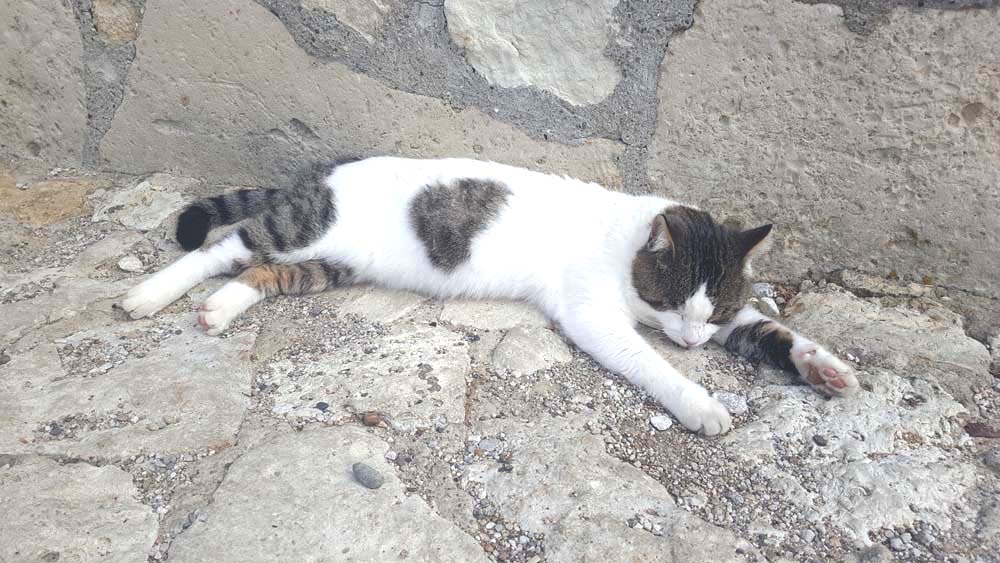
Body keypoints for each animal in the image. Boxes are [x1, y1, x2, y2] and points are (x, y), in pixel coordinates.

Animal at [123, 156, 860, 434]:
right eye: (674, 306)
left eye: (716, 312)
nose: (689, 339)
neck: (625, 240)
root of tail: (325, 169)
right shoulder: (594, 315)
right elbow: (650, 364)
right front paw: (701, 402)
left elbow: (772, 330)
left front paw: (824, 367)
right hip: (302, 230)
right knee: (224, 248)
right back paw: (149, 295)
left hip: (328, 264)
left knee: (261, 274)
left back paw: (220, 307)